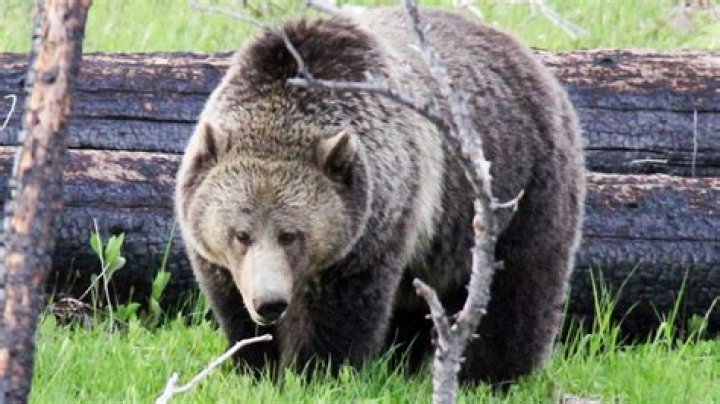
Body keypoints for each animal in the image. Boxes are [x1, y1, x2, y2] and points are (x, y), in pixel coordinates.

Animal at [175, 7, 585, 385]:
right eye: (241, 234)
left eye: (290, 234)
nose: (270, 302)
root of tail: (533, 60)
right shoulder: (216, 249)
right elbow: (233, 305)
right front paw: (257, 363)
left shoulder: (376, 224)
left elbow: (343, 312)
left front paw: (318, 371)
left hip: (521, 184)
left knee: (517, 286)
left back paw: (491, 374)